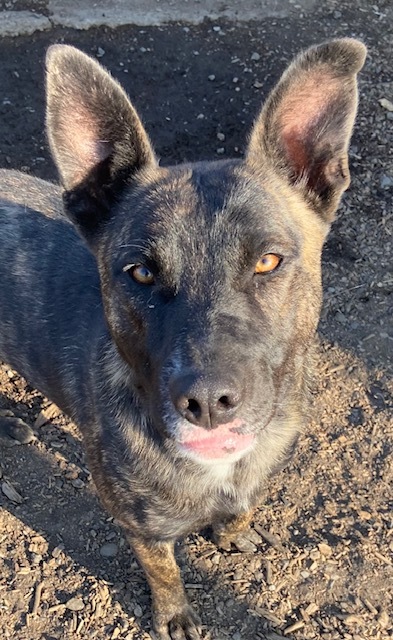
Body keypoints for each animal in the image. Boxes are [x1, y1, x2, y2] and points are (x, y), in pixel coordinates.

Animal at [0, 37, 364, 636]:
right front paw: (173, 612)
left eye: (268, 261)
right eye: (141, 272)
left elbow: (241, 504)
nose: (208, 402)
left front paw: (233, 530)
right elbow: (164, 569)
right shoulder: (139, 524)